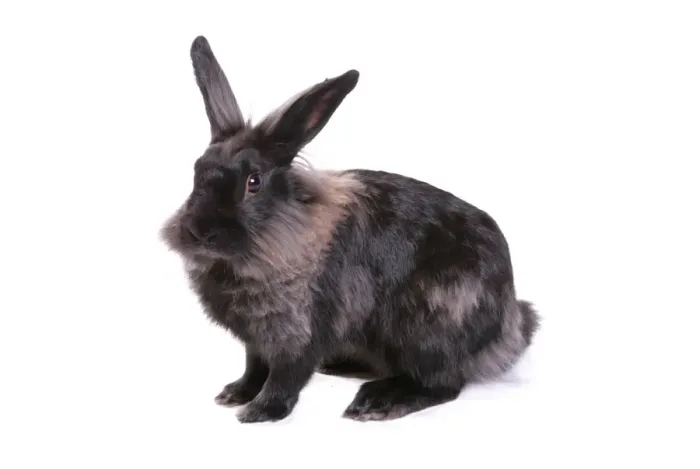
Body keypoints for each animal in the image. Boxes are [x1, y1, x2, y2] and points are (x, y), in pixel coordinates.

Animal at [160, 35, 539, 423]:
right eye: (197, 170)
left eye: (254, 182)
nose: (198, 232)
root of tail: (508, 325)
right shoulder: (256, 340)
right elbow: (254, 367)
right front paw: (234, 394)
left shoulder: (301, 332)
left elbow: (286, 375)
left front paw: (260, 412)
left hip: (427, 332)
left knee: (442, 384)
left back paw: (375, 403)